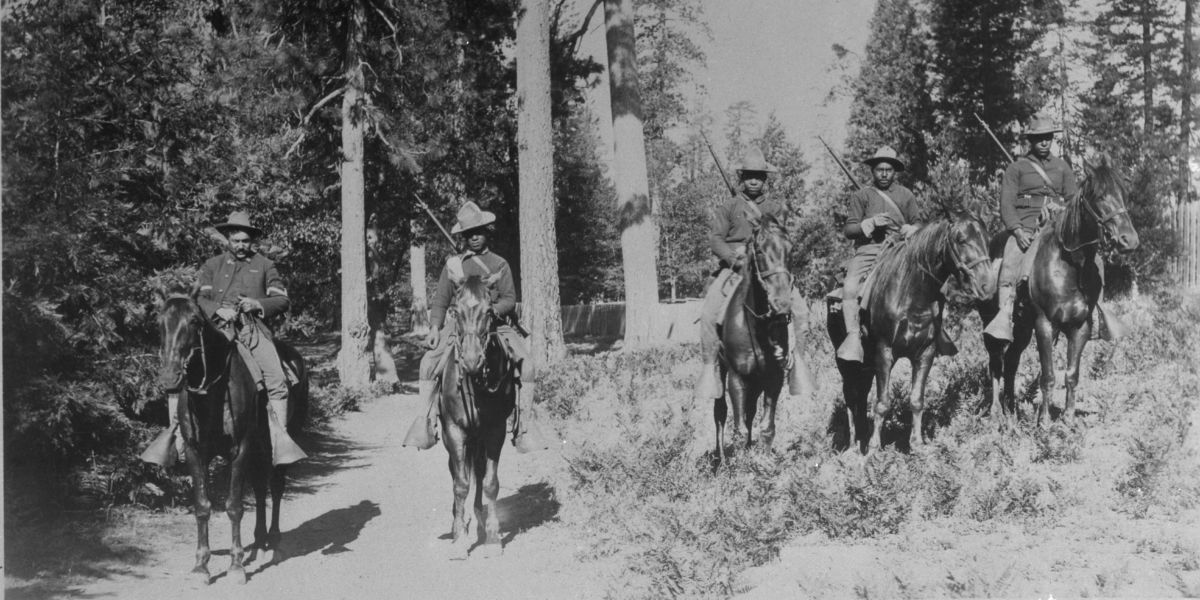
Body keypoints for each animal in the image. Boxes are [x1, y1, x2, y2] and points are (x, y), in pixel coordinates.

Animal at [154, 292, 307, 583]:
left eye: (194, 321)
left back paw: (274, 542)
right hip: (258, 448)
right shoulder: (195, 451)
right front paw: (201, 566)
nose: (169, 378)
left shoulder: (241, 448)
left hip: (280, 441)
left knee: (275, 487)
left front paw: (236, 566)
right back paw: (259, 542)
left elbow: (234, 506)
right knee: (259, 487)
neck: (212, 392)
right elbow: (202, 506)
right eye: (160, 322)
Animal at [441, 274, 516, 556]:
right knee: (456, 472)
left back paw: (480, 522)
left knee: (480, 473)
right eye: (456, 311)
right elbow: (460, 483)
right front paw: (459, 537)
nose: (472, 360)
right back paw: (457, 521)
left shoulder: (495, 431)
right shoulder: (454, 431)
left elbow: (490, 483)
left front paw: (493, 538)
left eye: (488, 312)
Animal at [710, 213, 796, 465]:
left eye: (791, 249)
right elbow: (737, 429)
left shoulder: (774, 377)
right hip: (720, 372)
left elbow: (766, 427)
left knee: (749, 414)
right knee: (720, 412)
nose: (781, 305)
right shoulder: (737, 378)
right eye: (759, 250)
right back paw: (720, 461)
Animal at [825, 217, 993, 453]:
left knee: (861, 393)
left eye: (987, 239)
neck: (913, 293)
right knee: (850, 394)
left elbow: (916, 400)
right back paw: (852, 445)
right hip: (846, 362)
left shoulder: (925, 353)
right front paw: (874, 449)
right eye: (961, 240)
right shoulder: (884, 352)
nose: (987, 285)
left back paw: (862, 437)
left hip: (867, 364)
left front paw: (917, 444)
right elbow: (882, 403)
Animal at [974, 152, 1132, 429]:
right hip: (994, 326)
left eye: (1123, 192)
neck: (1069, 266)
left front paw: (1068, 419)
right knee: (996, 362)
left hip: (1022, 329)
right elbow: (1047, 375)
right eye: (1100, 195)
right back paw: (996, 412)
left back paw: (1011, 410)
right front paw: (1045, 422)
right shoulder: (1045, 324)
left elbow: (1071, 374)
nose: (1129, 240)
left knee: (1011, 362)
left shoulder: (1080, 326)